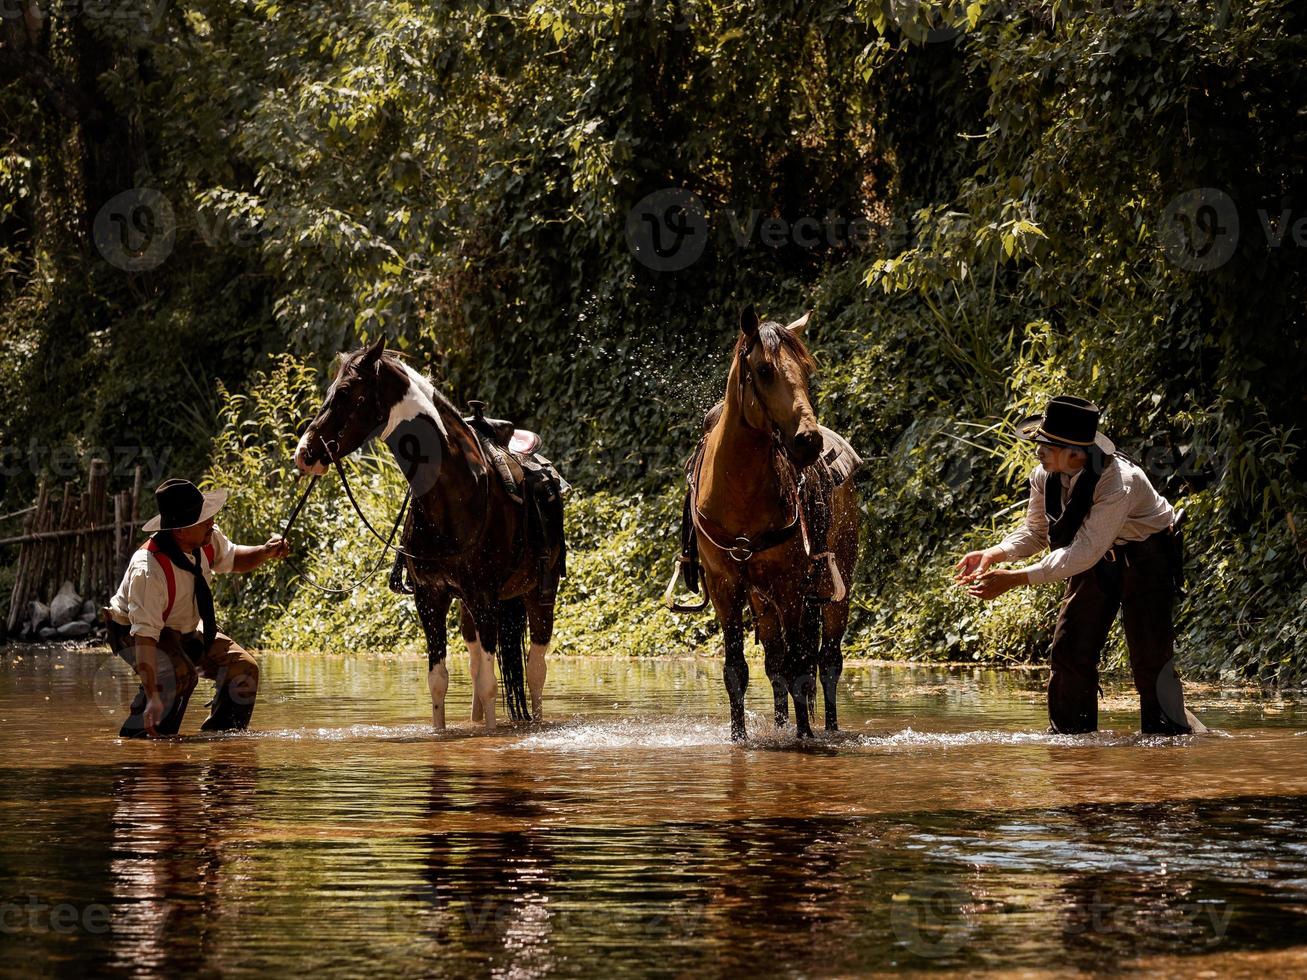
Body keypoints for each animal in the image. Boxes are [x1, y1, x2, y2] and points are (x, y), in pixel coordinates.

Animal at [294, 337, 564, 731]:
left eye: (345, 392)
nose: (304, 454)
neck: (457, 491)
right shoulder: (430, 597)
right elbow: (441, 681)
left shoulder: (484, 597)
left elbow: (490, 684)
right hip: (470, 610)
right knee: (479, 666)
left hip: (540, 596)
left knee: (535, 670)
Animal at [690, 310, 862, 742]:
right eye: (765, 370)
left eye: (806, 369)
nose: (808, 442)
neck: (738, 490)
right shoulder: (726, 588)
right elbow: (738, 670)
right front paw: (739, 737)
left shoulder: (790, 586)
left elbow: (802, 668)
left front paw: (804, 737)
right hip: (762, 602)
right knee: (775, 663)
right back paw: (782, 723)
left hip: (835, 589)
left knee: (827, 661)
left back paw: (828, 727)